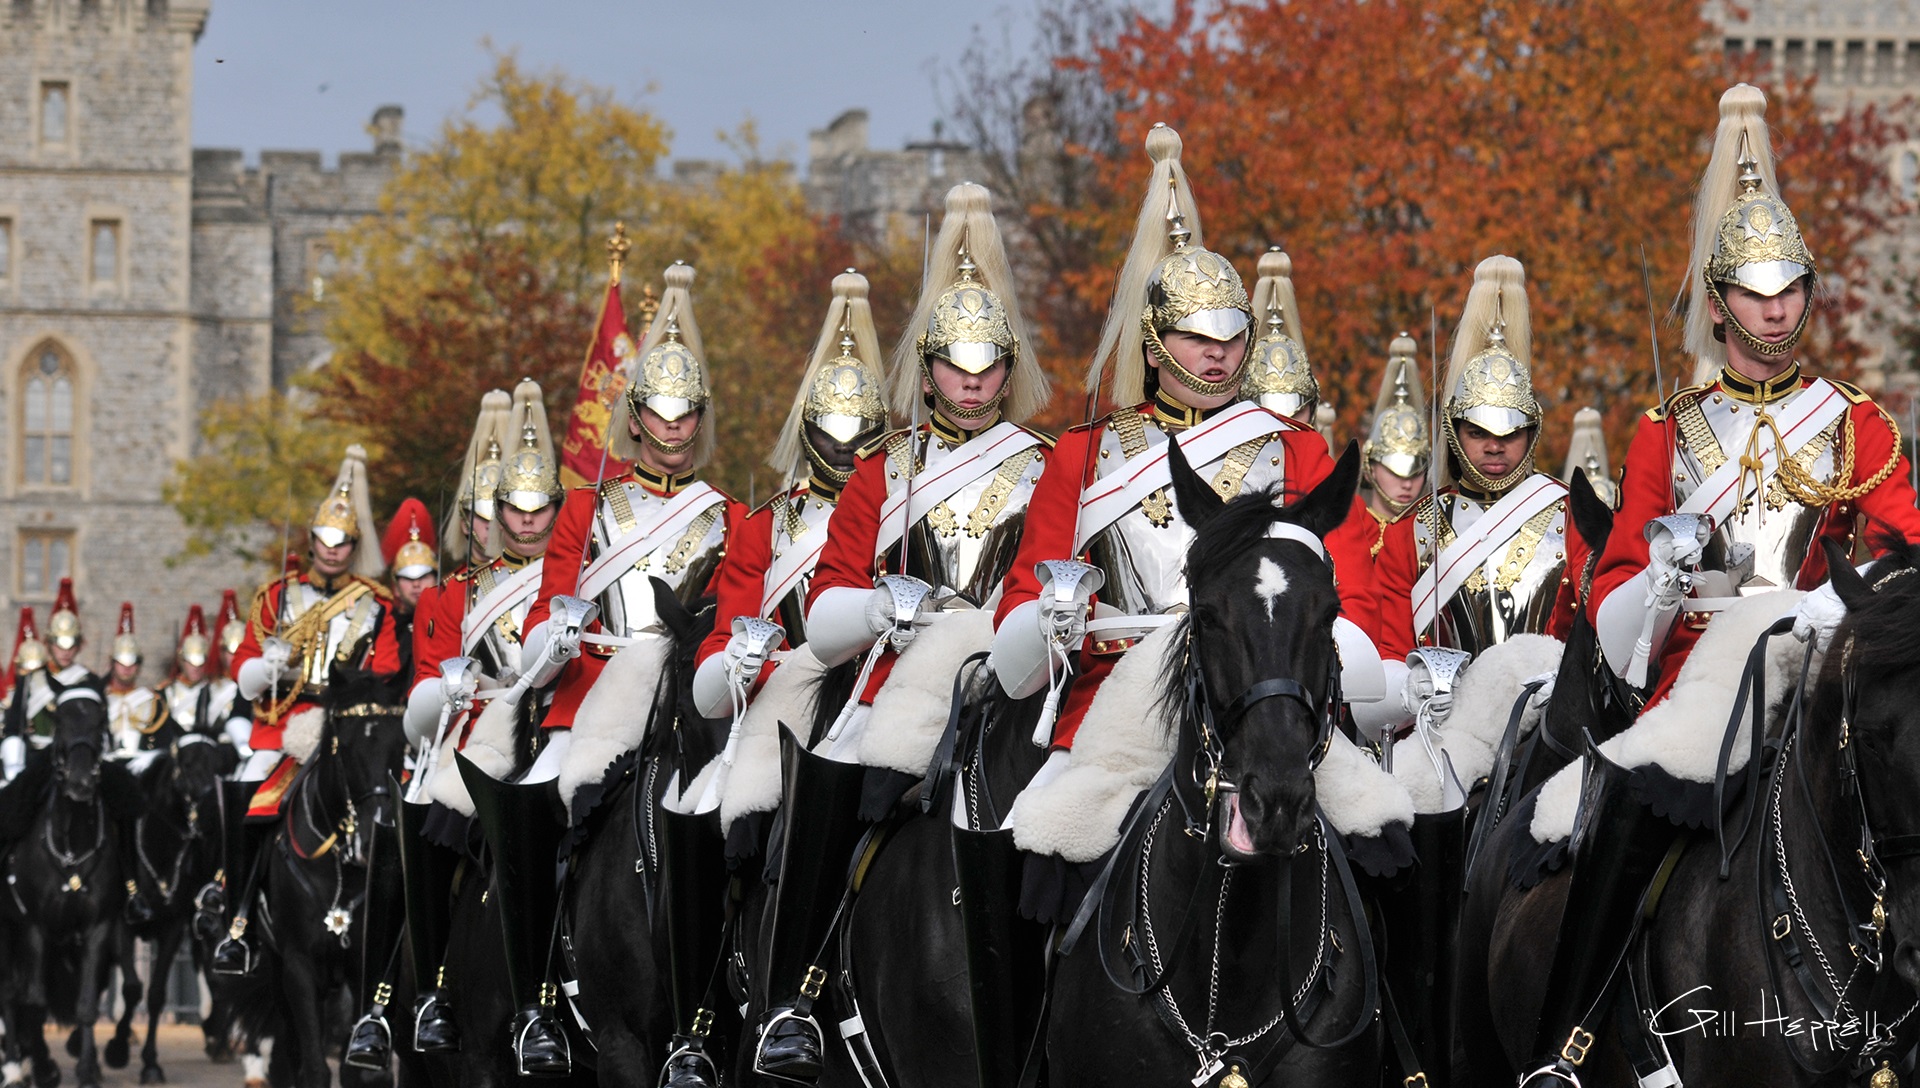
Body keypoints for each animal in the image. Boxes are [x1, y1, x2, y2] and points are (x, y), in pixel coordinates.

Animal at [1, 671, 143, 1088]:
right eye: (61, 720)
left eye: (100, 721)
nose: (80, 783)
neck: (71, 843)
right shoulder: (34, 927)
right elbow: (34, 1002)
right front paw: (45, 1068)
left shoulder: (98, 927)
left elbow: (86, 1004)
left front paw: (88, 1069)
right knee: (10, 994)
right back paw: (16, 1064)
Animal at [130, 717, 240, 1082]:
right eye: (187, 764)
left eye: (222, 766)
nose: (214, 811)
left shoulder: (175, 925)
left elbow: (155, 993)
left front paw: (150, 1063)